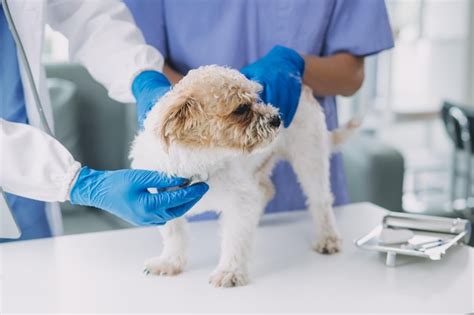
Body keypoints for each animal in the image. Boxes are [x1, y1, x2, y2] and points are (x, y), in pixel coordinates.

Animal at [130, 66, 356, 288]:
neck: (200, 158)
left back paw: (328, 238)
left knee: (320, 200)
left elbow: (235, 239)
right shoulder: (161, 203)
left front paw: (230, 272)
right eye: (240, 109)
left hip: (309, 156)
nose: (277, 119)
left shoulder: (239, 201)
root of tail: (303, 86)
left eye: (258, 98)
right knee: (266, 190)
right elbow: (174, 234)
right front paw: (170, 262)